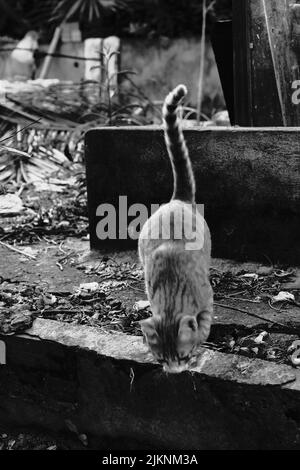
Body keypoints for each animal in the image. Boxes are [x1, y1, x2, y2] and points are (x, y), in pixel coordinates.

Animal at [138, 82, 213, 372]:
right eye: (161, 359)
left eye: (181, 357)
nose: (174, 373)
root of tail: (177, 199)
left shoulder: (207, 298)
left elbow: (204, 324)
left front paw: (200, 339)